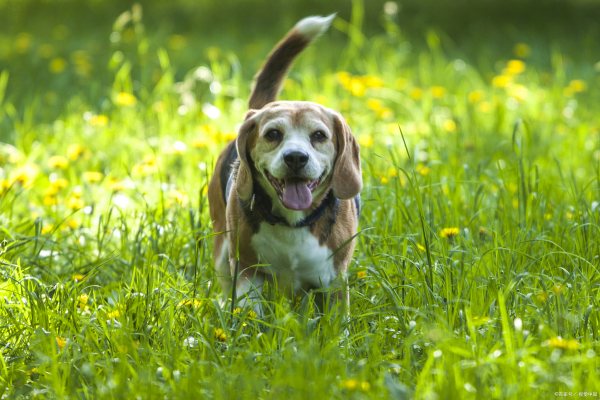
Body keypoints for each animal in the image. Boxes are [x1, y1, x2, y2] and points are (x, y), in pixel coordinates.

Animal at [207, 14, 360, 312]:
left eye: (319, 135)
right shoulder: (247, 273)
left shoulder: (334, 280)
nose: (296, 157)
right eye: (273, 134)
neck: (293, 222)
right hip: (221, 250)